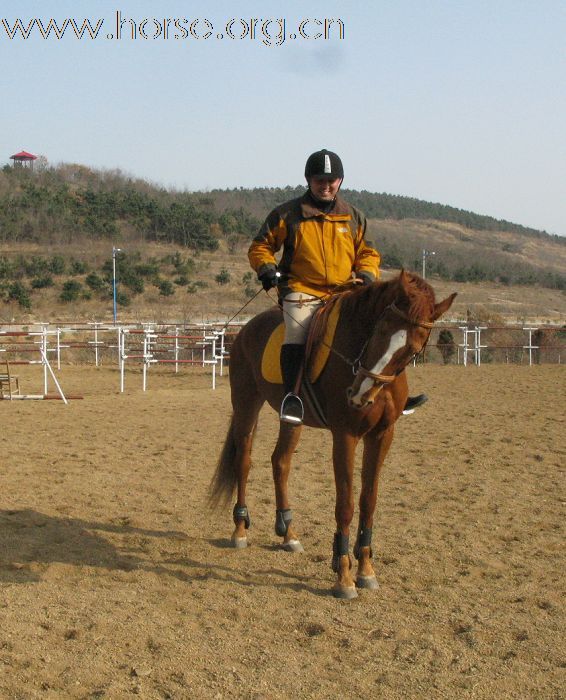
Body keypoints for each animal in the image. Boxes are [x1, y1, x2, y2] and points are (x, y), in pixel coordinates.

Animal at [211, 270, 460, 600]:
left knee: (280, 462)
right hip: (245, 402)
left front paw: (365, 568)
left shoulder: (382, 435)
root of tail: (246, 329)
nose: (360, 395)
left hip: (292, 418)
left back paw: (288, 532)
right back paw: (240, 528)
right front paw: (344, 575)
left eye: (414, 349)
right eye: (380, 328)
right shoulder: (345, 435)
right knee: (244, 461)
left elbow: (369, 500)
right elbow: (346, 504)